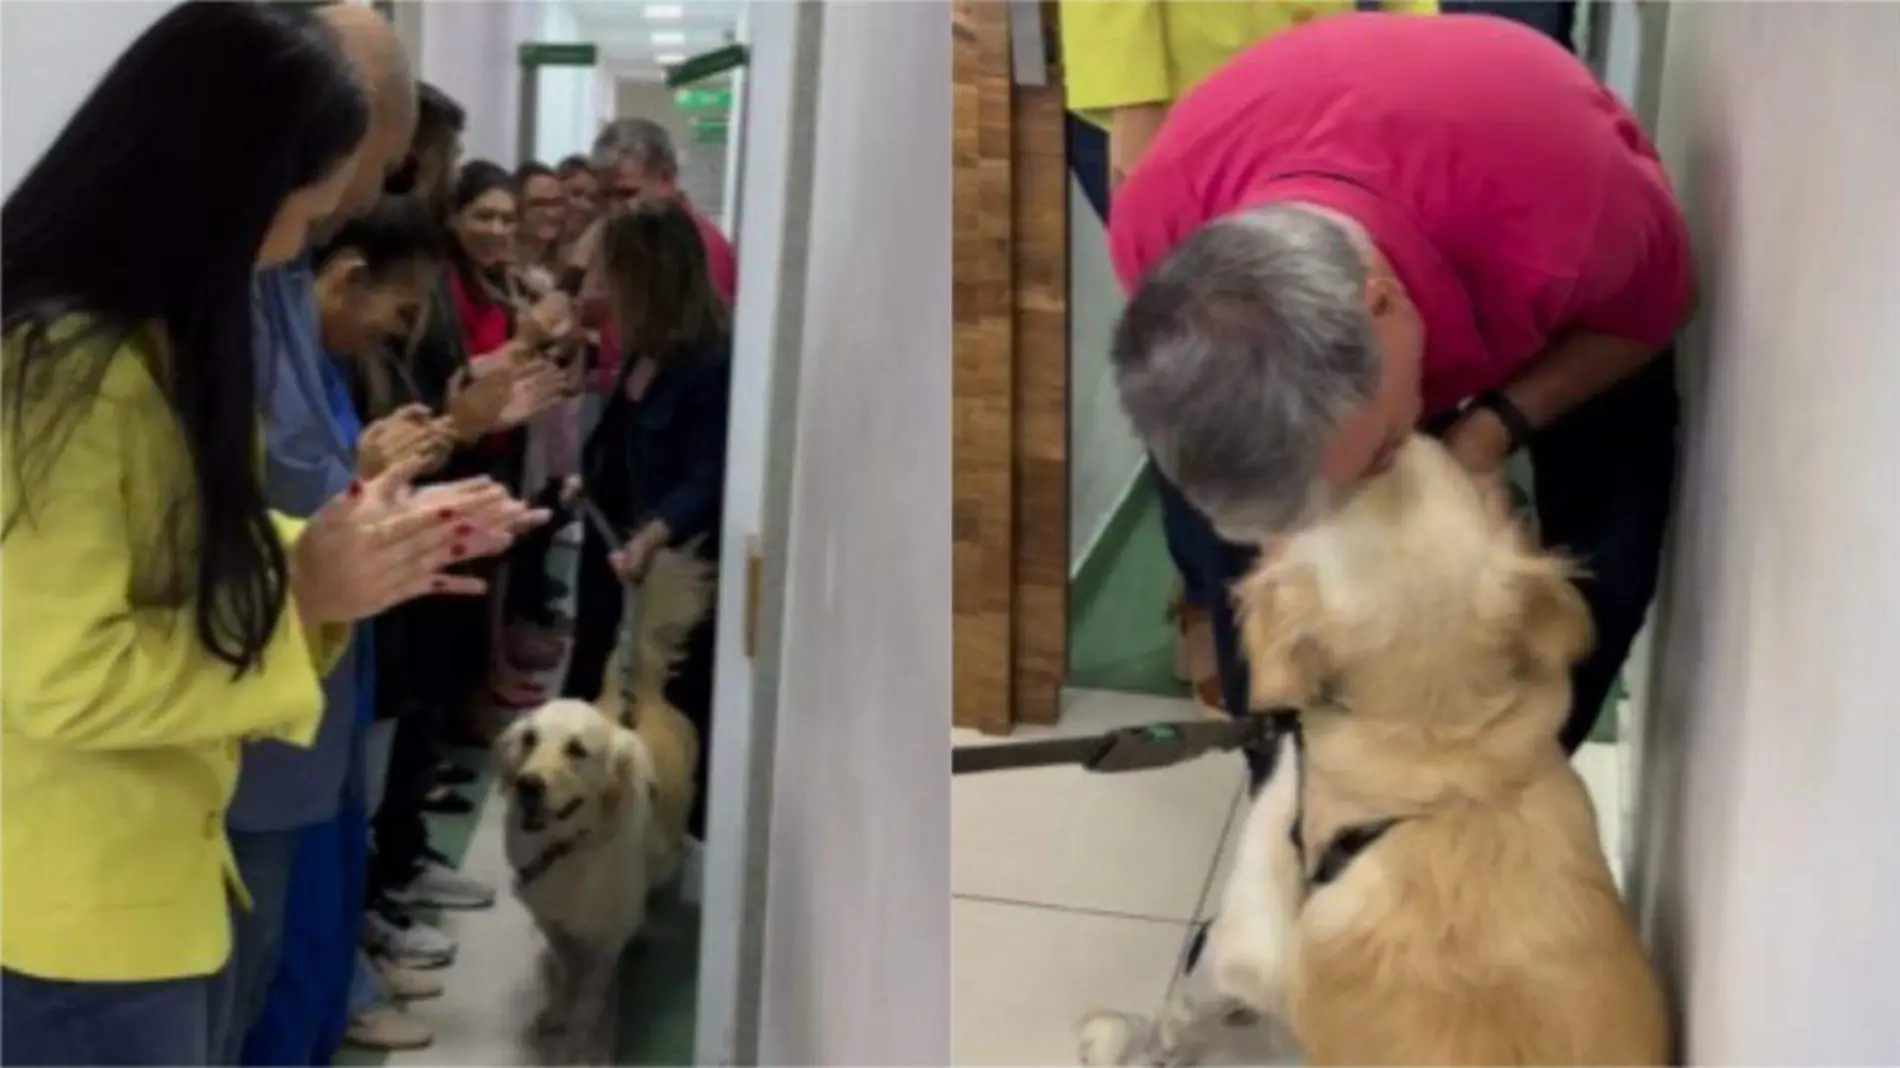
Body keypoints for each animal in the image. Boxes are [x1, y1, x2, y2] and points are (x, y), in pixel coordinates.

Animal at [497, 691, 661, 1056]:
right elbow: (567, 966)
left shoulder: (612, 935)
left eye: (577, 750)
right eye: (529, 739)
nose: (526, 785)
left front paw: (579, 1036)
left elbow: (592, 988)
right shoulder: (548, 918)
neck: (568, 848)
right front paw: (559, 1012)